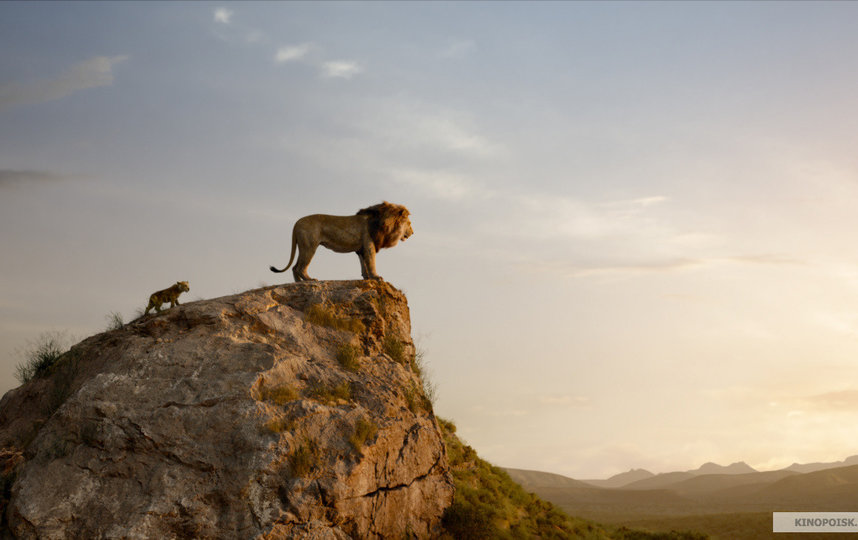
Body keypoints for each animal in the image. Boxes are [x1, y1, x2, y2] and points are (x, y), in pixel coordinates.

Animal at [270, 202, 413, 282]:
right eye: (409, 223)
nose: (412, 233)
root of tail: (296, 223)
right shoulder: (369, 245)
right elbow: (371, 263)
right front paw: (376, 277)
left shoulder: (361, 248)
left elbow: (363, 264)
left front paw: (366, 277)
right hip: (310, 246)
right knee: (300, 267)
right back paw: (310, 280)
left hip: (303, 246)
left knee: (294, 267)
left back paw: (299, 283)